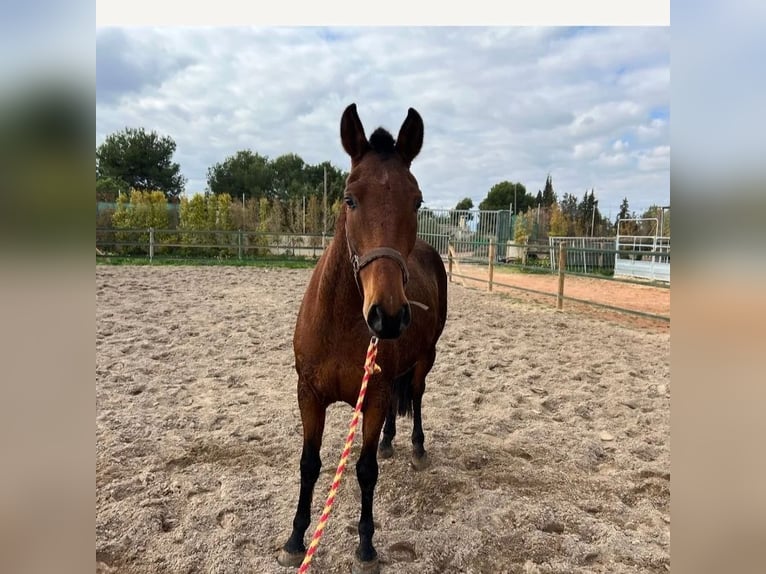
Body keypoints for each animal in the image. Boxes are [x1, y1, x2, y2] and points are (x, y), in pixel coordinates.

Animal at [280, 104, 450, 574]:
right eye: (349, 198)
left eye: (416, 200)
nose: (387, 316)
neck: (341, 324)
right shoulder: (308, 394)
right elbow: (309, 464)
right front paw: (296, 539)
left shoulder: (371, 396)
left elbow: (365, 469)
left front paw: (367, 546)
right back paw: (392, 440)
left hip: (425, 359)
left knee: (416, 394)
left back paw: (415, 447)